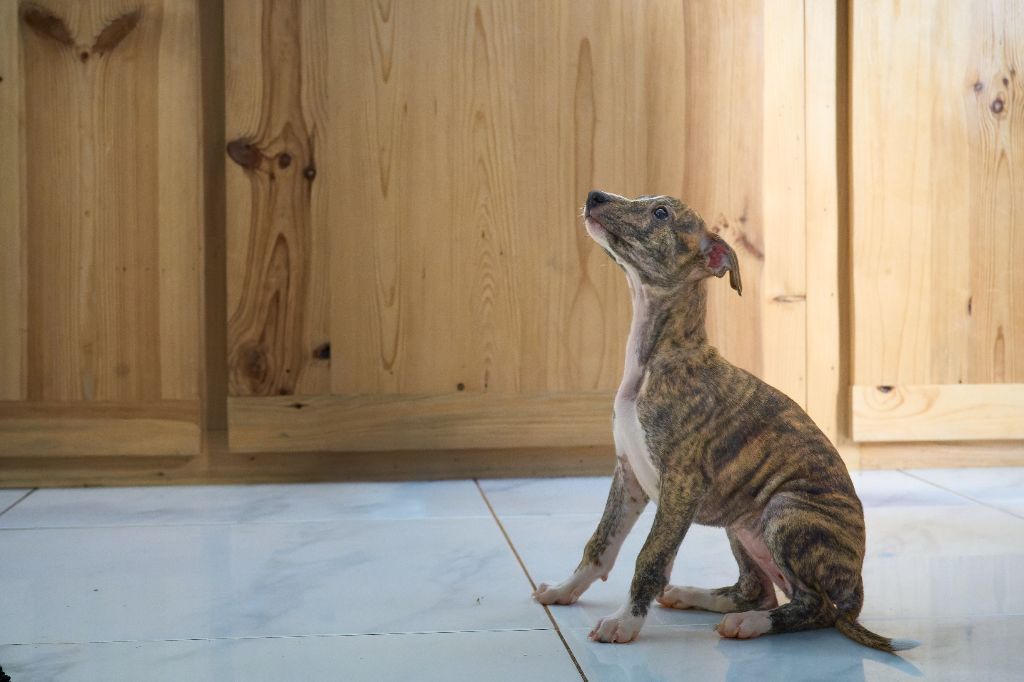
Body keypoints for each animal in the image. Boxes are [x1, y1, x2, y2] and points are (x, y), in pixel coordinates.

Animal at [533, 191, 916, 653]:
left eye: (660, 212)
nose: (594, 196)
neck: (657, 358)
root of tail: (855, 585)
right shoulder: (628, 475)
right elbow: (600, 543)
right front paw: (564, 590)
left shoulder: (682, 486)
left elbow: (650, 557)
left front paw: (624, 623)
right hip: (741, 522)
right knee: (759, 589)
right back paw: (696, 597)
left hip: (785, 510)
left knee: (815, 607)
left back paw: (751, 624)